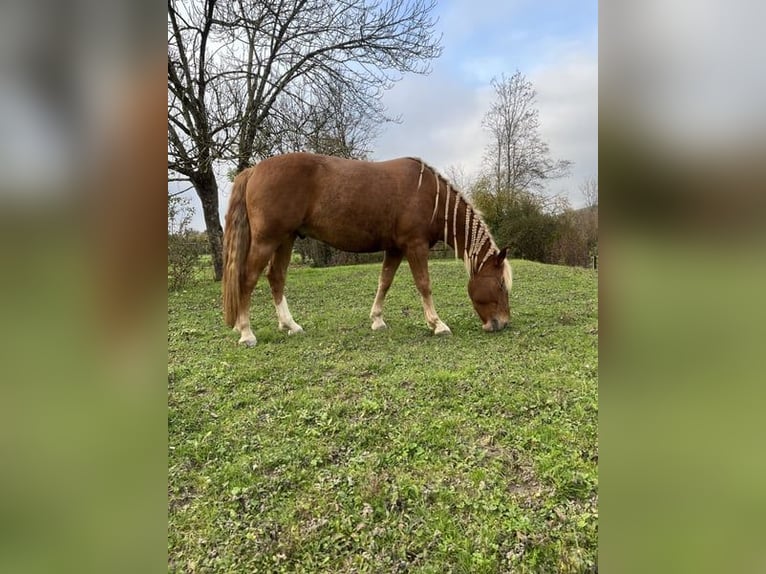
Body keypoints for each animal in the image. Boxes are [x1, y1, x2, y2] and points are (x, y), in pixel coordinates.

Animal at [222, 153, 512, 346]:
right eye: (500, 285)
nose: (503, 323)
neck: (431, 196)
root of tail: (253, 170)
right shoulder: (414, 246)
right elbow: (424, 284)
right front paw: (437, 324)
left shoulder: (395, 249)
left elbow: (384, 282)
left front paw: (377, 320)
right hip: (267, 240)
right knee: (247, 279)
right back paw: (246, 332)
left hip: (286, 238)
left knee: (276, 277)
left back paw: (290, 325)